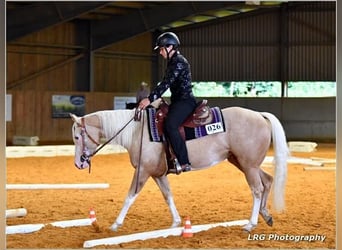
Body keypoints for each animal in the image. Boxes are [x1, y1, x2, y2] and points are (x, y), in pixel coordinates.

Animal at [70, 104, 288, 232]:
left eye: (77, 136)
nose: (79, 163)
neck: (137, 131)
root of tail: (260, 115)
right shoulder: (157, 174)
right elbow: (168, 195)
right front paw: (176, 222)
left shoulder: (142, 171)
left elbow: (130, 196)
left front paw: (116, 223)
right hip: (244, 163)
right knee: (267, 181)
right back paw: (266, 215)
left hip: (248, 165)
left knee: (257, 189)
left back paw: (251, 224)